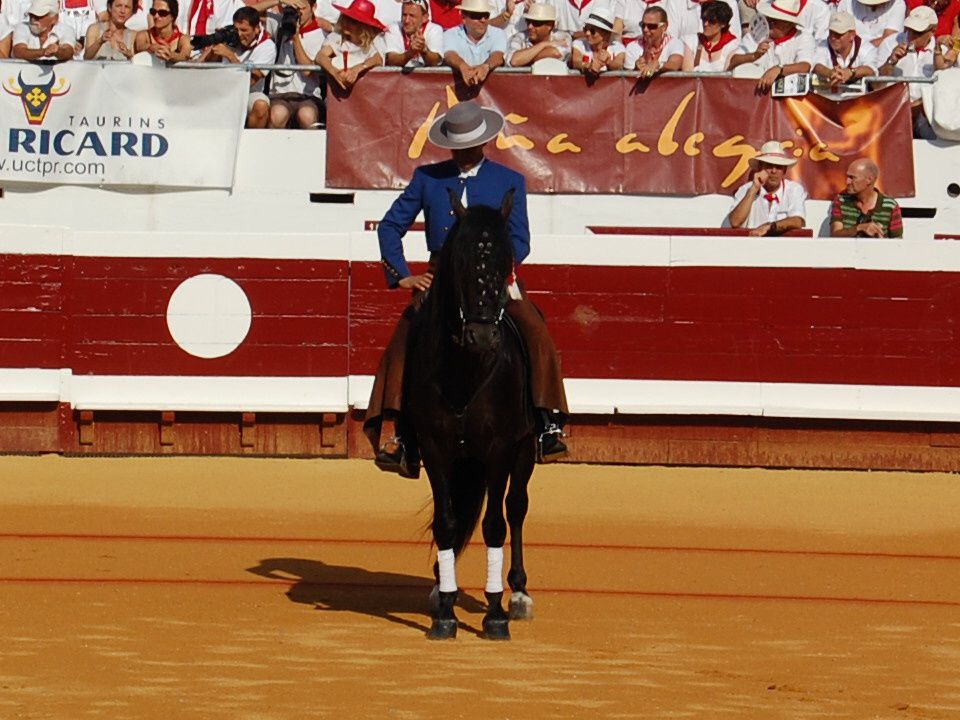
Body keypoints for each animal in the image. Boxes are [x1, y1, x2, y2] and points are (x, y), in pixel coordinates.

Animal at [404, 190, 540, 640]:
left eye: (506, 258)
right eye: (459, 261)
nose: (482, 335)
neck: (466, 371)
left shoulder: (501, 448)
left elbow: (496, 524)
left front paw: (495, 614)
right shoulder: (434, 448)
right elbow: (446, 522)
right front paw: (446, 612)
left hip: (525, 449)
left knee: (516, 507)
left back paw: (519, 593)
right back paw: (438, 588)